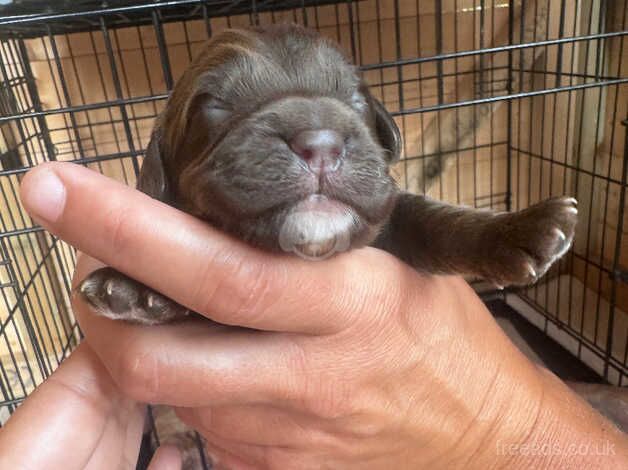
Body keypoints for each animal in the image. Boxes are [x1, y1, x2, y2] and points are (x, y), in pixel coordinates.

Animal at [76, 23, 576, 324]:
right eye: (212, 107)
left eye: (356, 100)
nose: (321, 143)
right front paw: (132, 285)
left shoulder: (392, 220)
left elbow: (433, 219)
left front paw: (522, 228)